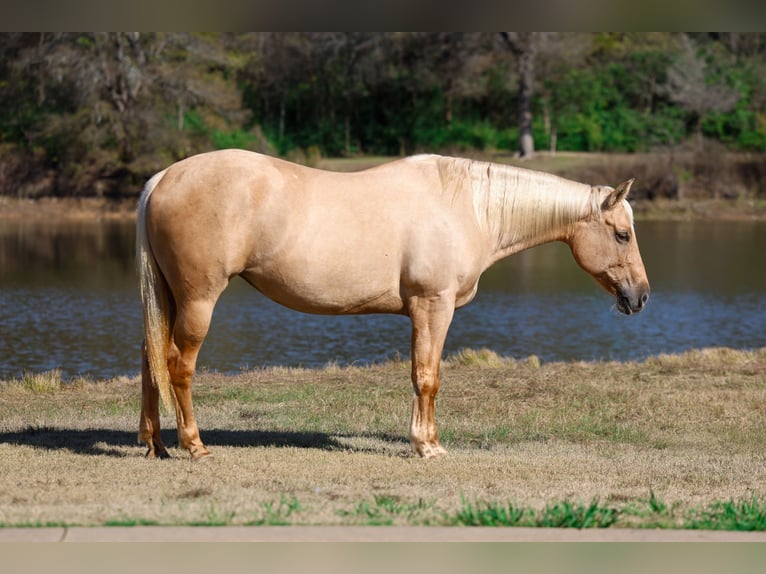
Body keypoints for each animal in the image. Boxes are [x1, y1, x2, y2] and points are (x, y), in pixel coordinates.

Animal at [136, 149, 650, 460]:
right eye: (623, 234)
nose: (640, 296)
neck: (467, 208)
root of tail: (163, 177)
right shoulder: (433, 306)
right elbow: (427, 377)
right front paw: (428, 446)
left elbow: (422, 375)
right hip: (199, 299)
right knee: (178, 364)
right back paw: (194, 445)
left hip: (169, 298)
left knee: (150, 359)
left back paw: (155, 444)